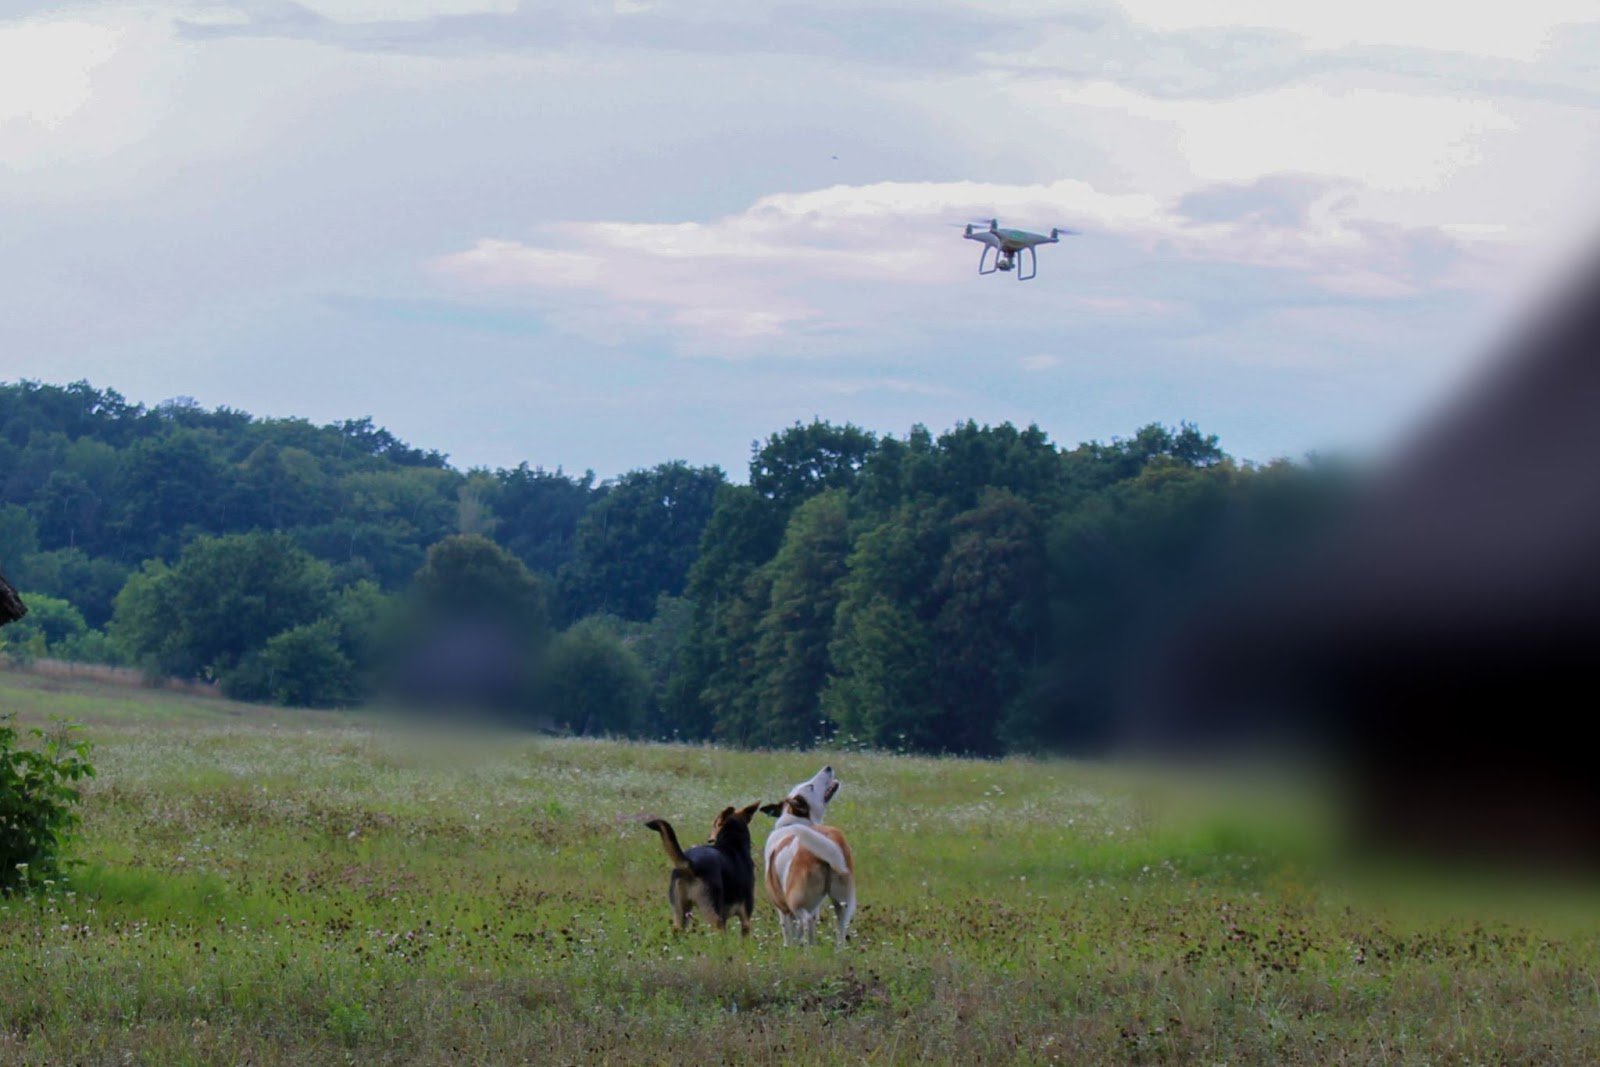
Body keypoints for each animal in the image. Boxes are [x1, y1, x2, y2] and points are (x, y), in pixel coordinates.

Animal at [640, 806, 758, 940]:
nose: (709, 836)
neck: (733, 843)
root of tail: (691, 863)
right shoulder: (745, 918)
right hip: (712, 913)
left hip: (680, 913)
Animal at [758, 764, 857, 947]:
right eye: (810, 786)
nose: (828, 767)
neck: (793, 820)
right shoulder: (815, 905)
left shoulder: (783, 908)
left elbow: (789, 934)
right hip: (842, 903)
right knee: (839, 930)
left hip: (796, 901)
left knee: (804, 920)